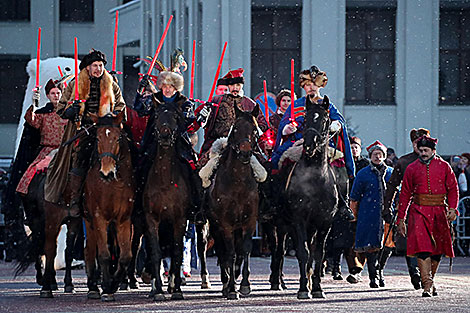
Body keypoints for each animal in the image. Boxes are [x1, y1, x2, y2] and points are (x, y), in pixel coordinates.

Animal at [82, 111, 134, 300]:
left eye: (117, 138)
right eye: (97, 138)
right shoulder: (98, 218)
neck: (111, 185)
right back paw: (92, 287)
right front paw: (105, 286)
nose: (106, 172)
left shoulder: (124, 220)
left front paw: (113, 284)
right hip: (87, 221)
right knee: (89, 250)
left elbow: (125, 256)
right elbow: (103, 254)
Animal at [144, 101, 194, 298]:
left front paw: (177, 289)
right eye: (156, 116)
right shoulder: (151, 219)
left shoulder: (180, 219)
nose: (165, 136)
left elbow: (177, 250)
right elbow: (156, 252)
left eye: (175, 116)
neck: (165, 180)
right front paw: (157, 289)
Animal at [207, 103, 262, 298]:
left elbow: (245, 250)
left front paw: (245, 284)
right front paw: (231, 288)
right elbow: (229, 253)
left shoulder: (249, 222)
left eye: (254, 130)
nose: (245, 153)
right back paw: (225, 281)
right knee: (222, 251)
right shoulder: (225, 224)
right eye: (236, 128)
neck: (238, 182)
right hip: (215, 227)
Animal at [278, 94, 340, 298]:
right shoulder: (299, 220)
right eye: (305, 119)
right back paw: (278, 281)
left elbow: (318, 254)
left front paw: (318, 288)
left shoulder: (325, 222)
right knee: (280, 250)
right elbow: (303, 252)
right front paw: (303, 289)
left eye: (325, 120)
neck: (315, 180)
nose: (309, 145)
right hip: (281, 225)